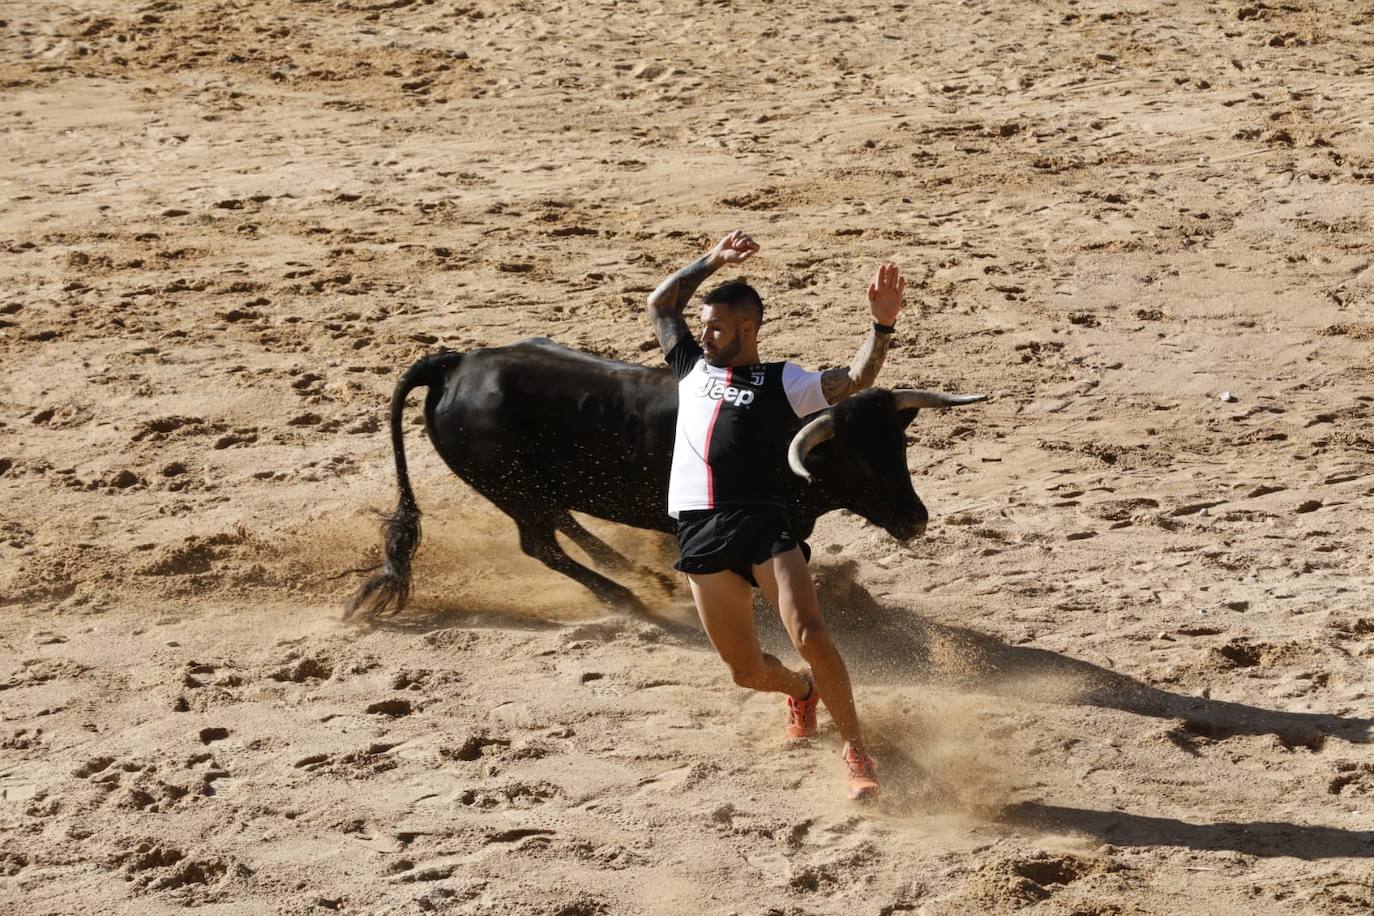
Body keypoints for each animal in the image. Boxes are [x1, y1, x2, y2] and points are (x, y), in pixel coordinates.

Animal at [348, 340, 983, 620]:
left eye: (898, 445)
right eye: (855, 462)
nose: (916, 519)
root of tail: (455, 364)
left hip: (526, 487)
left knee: (559, 522)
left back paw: (638, 573)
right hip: (509, 486)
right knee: (540, 542)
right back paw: (627, 595)